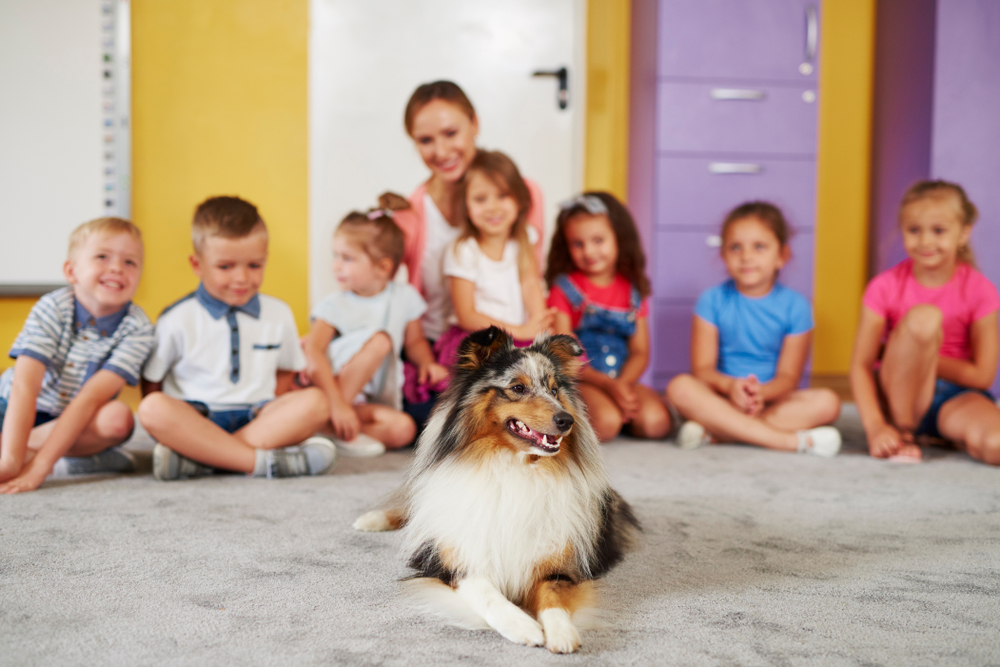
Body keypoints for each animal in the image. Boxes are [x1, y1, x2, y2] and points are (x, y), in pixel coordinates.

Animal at [356, 326, 644, 656]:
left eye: (554, 390)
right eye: (518, 387)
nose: (566, 420)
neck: (514, 468)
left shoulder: (561, 564)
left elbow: (552, 595)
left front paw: (561, 632)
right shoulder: (452, 561)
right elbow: (487, 592)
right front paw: (523, 626)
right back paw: (371, 519)